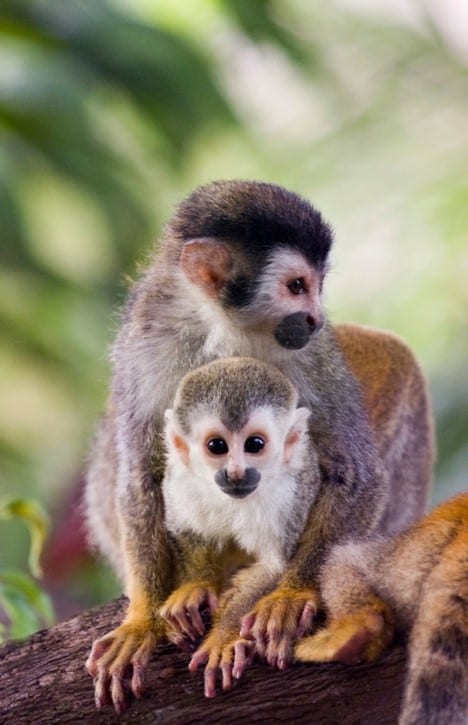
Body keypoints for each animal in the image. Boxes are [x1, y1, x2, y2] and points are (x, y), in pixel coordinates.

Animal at [85, 178, 436, 708]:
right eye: (296, 286)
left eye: (318, 286)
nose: (314, 318)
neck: (222, 328)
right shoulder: (145, 337)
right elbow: (141, 474)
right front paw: (143, 619)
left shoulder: (312, 356)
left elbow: (353, 471)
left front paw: (288, 594)